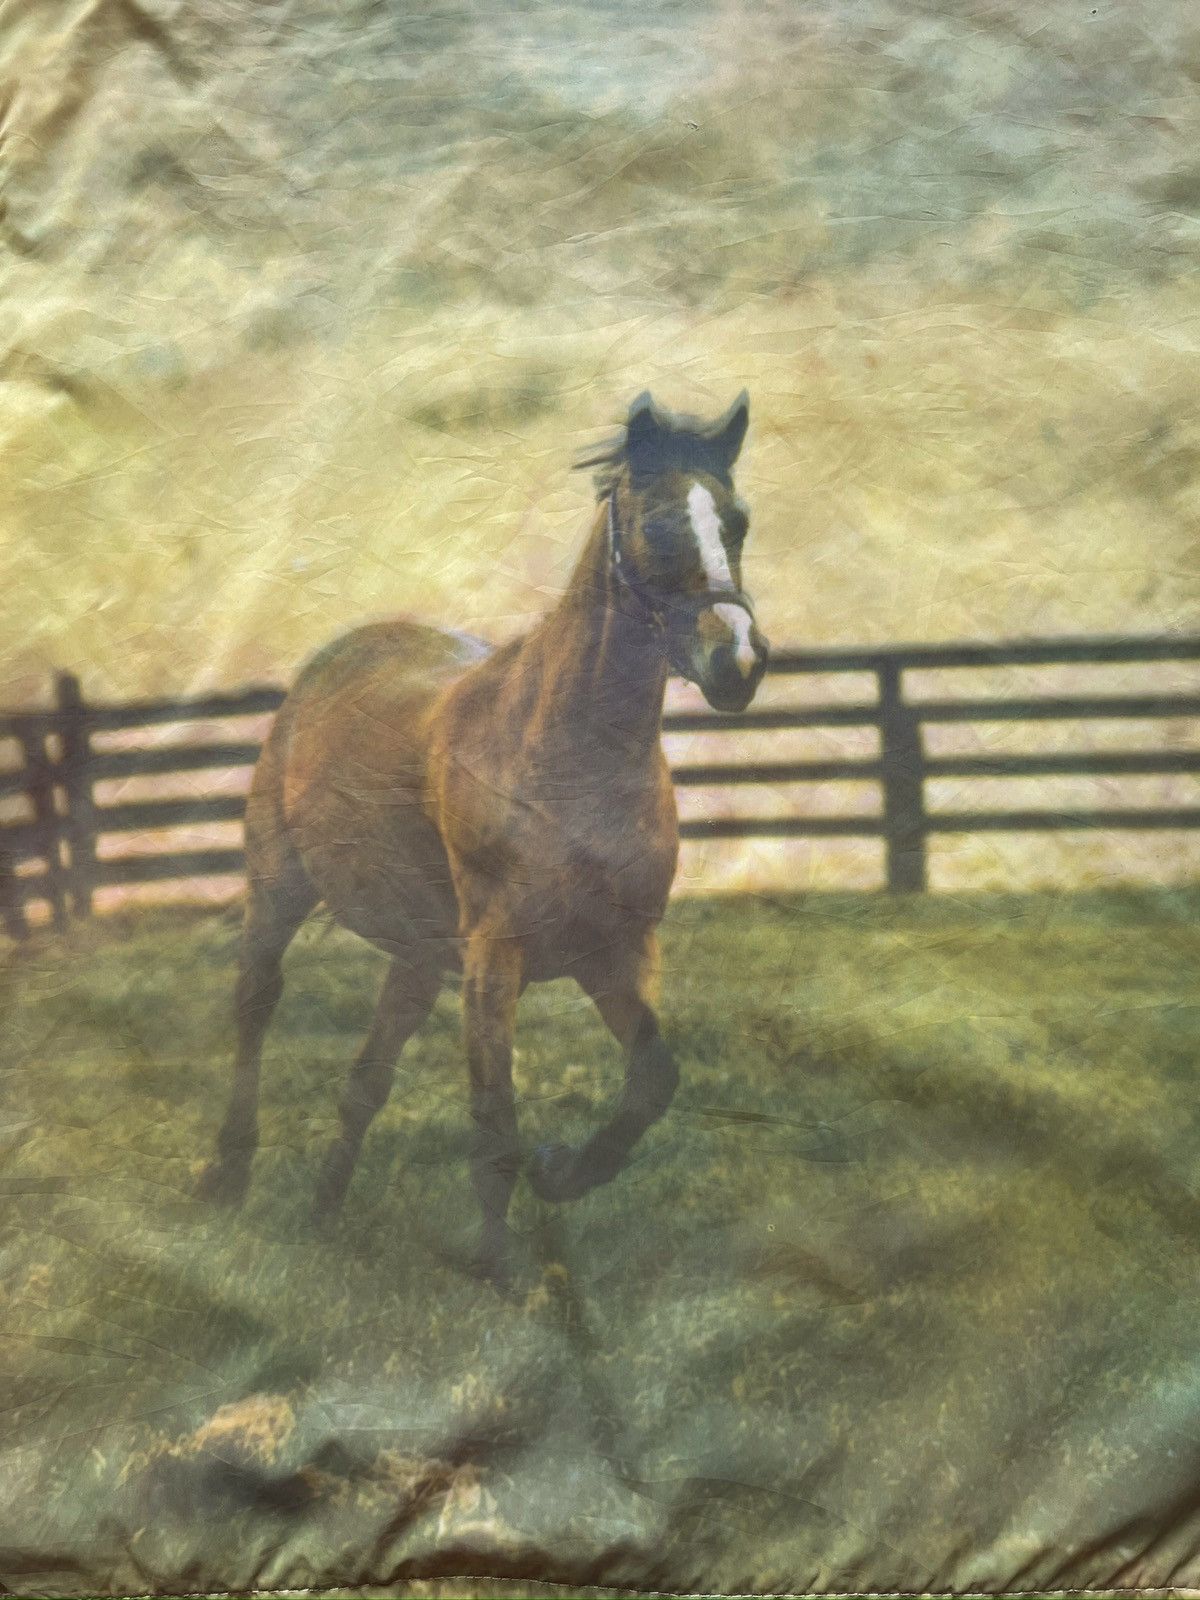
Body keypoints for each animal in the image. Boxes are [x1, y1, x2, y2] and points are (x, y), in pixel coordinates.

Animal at [197, 389, 770, 1283]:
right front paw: (502, 1276)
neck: (569, 758)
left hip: (420, 954)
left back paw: (324, 1212)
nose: (737, 663)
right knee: (256, 1006)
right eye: (658, 523)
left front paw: (560, 1172)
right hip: (279, 894)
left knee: (366, 1079)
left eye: (737, 521)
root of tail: (331, 664)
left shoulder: (617, 951)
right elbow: (494, 1120)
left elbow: (652, 1082)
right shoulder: (495, 961)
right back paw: (228, 1177)